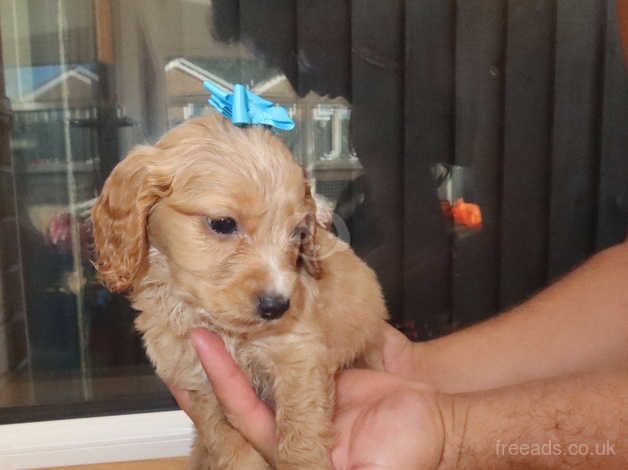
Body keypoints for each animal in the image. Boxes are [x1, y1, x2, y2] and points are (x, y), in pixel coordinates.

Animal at [91, 114, 390, 470]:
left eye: (297, 234)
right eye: (222, 223)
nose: (277, 306)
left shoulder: (298, 356)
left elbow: (299, 436)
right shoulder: (197, 382)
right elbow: (227, 442)